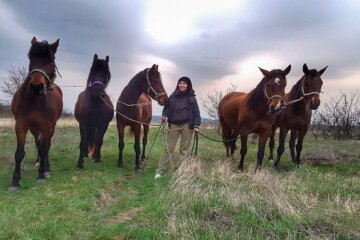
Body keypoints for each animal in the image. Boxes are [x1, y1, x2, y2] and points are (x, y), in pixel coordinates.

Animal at [8, 37, 62, 191]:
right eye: (31, 58)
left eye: (51, 60)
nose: (37, 87)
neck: (35, 101)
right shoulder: (21, 125)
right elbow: (19, 153)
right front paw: (15, 181)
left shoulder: (46, 126)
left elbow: (44, 149)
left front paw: (41, 175)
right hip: (34, 128)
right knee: (39, 144)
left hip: (49, 127)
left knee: (46, 145)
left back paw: (46, 168)